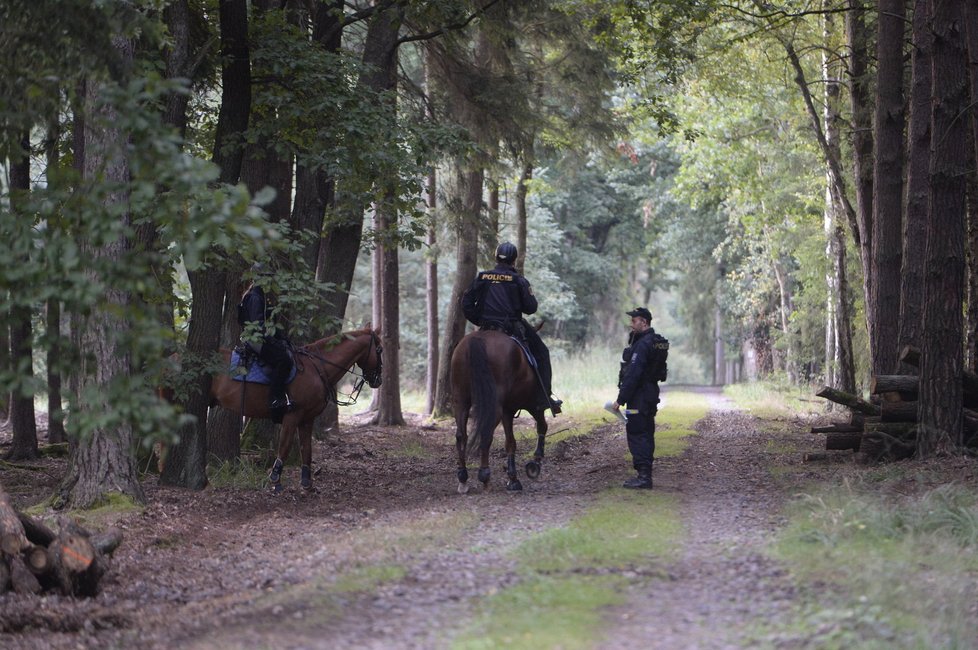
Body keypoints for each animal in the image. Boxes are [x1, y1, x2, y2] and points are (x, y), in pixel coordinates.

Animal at [210, 326, 382, 488]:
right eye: (379, 350)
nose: (378, 380)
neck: (316, 368)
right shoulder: (293, 416)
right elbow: (285, 446)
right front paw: (275, 478)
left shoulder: (307, 418)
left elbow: (306, 449)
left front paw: (306, 483)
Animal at [450, 330, 548, 492]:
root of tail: (476, 339)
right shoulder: (530, 405)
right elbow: (541, 426)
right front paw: (535, 463)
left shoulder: (508, 410)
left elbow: (510, 442)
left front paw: (513, 478)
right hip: (493, 405)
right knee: (485, 433)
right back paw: (484, 476)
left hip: (461, 401)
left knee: (461, 435)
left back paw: (463, 478)